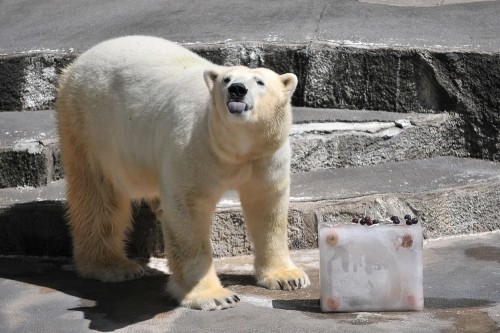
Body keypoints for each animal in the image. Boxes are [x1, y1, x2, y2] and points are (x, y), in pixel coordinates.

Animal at [56, 35, 310, 308]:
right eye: (226, 79)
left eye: (260, 81)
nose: (237, 90)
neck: (235, 149)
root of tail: (76, 63)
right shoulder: (193, 148)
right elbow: (189, 212)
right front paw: (214, 296)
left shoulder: (265, 156)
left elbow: (267, 207)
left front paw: (288, 277)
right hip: (90, 126)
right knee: (98, 195)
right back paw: (113, 266)